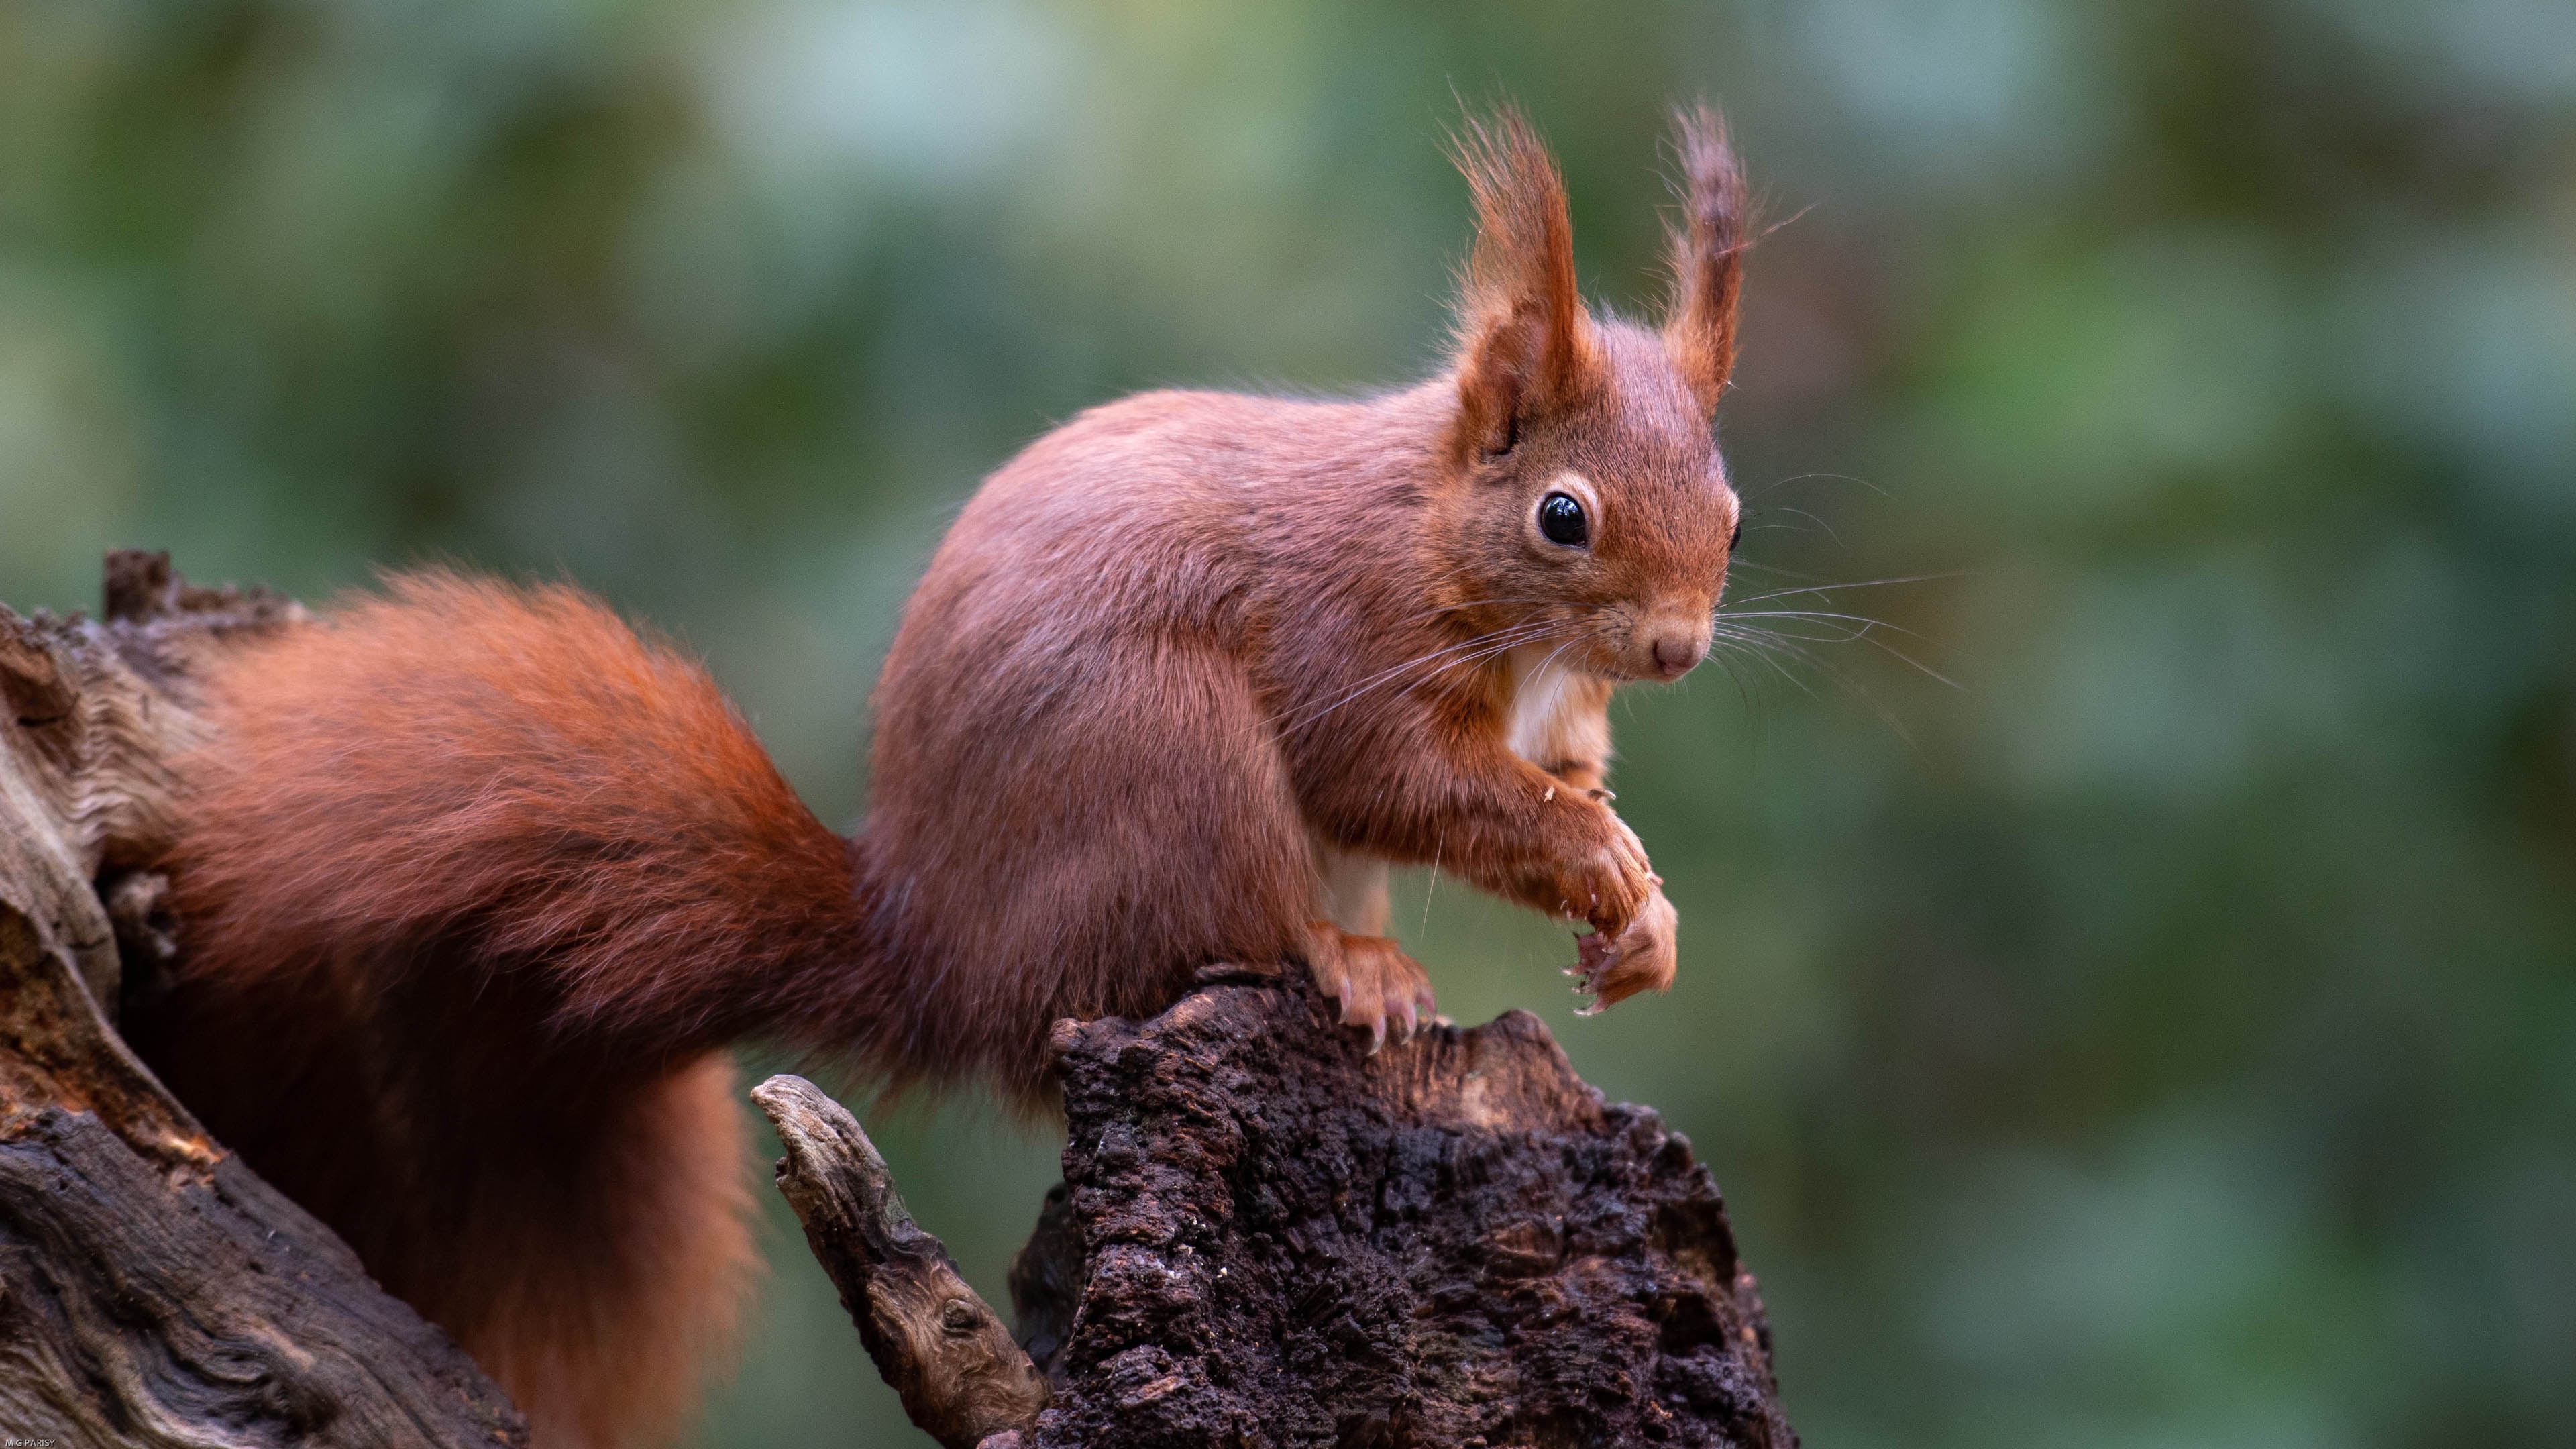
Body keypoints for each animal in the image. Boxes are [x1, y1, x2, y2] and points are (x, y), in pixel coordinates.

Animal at [136, 107, 1752, 1433]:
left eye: (1730, 508)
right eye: (1562, 516)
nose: (1679, 650)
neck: (1437, 536)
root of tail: (940, 953)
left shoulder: (1551, 710)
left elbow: (1562, 773)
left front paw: (1648, 916)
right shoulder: (1346, 645)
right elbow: (1403, 784)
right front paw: (1597, 863)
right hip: (1171, 765)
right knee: (1206, 937)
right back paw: (1345, 960)